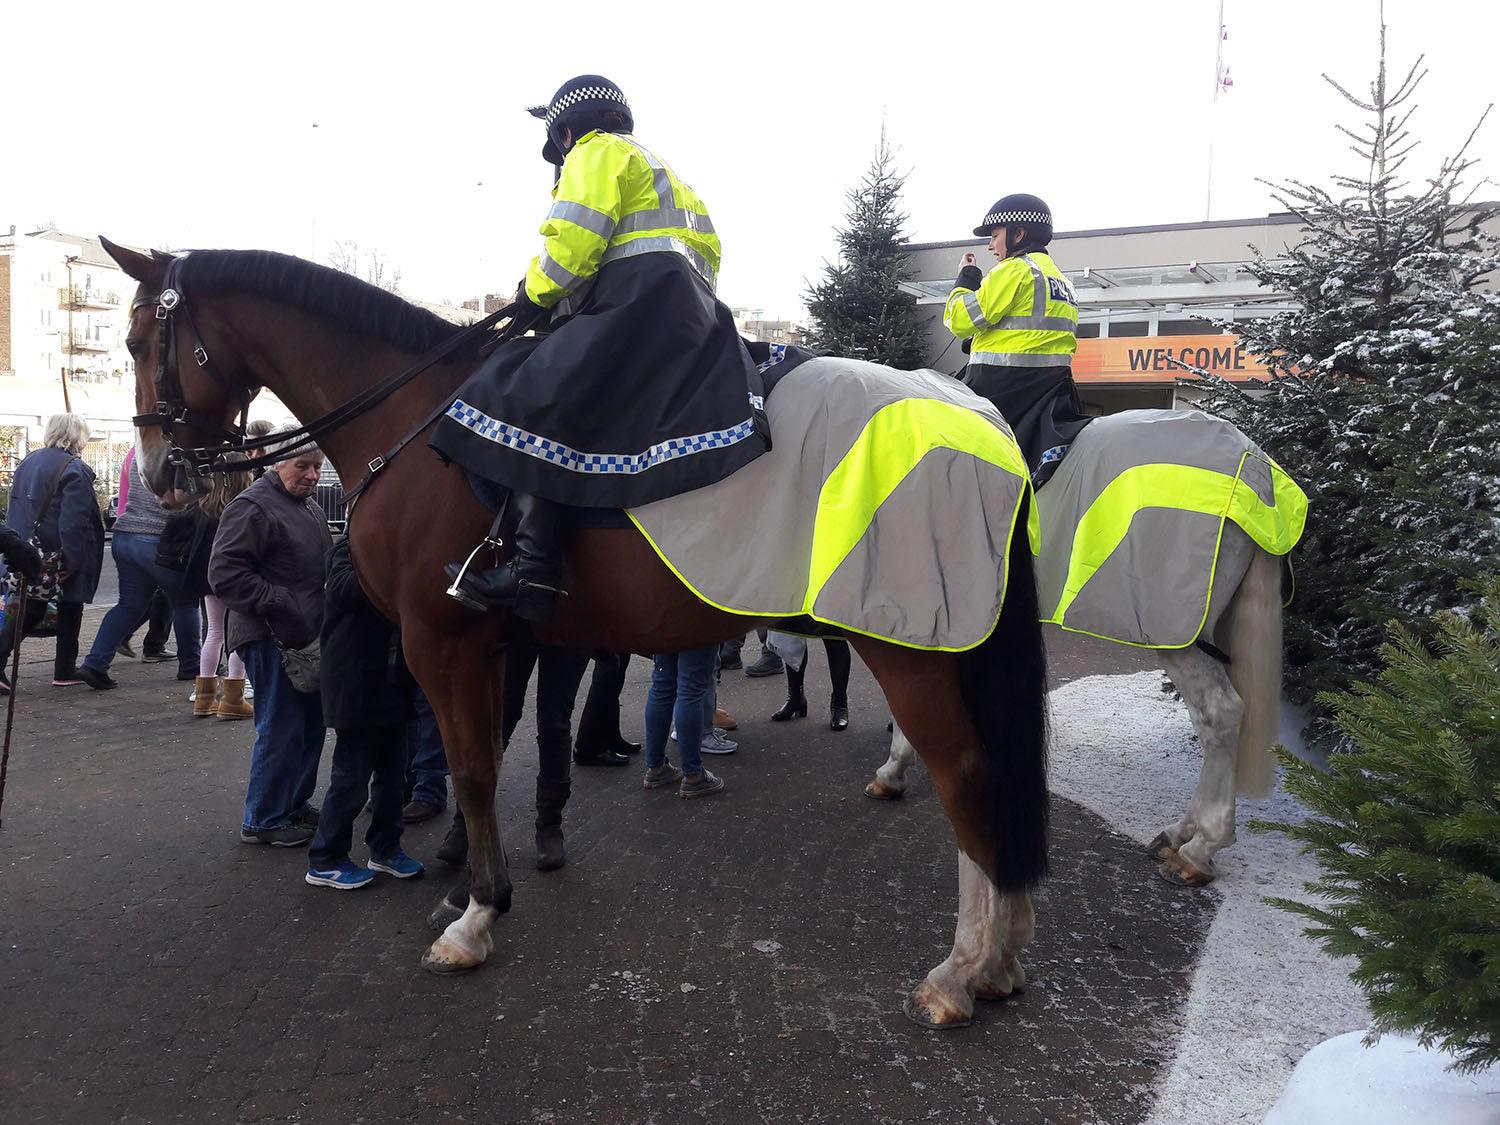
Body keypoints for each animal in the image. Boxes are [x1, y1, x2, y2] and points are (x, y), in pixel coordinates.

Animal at [102, 243, 1044, 1038]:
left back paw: (962, 970)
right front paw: (469, 888)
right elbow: (489, 754)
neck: (415, 422)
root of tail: (979, 415)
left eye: (142, 338)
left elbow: (474, 767)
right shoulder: (499, 644)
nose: (162, 472)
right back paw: (1002, 958)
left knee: (966, 776)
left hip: (912, 642)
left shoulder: (440, 637)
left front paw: (476, 916)